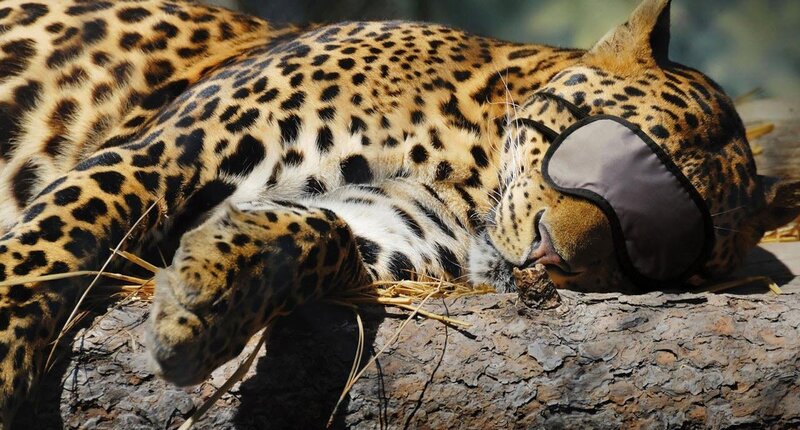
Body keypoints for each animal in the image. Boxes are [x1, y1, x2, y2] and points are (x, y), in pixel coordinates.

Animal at [0, 0, 798, 426]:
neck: (467, 163)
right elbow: (45, 253)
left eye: (652, 252)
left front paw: (204, 296)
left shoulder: (391, 229)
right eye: (600, 150)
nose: (553, 256)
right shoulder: (167, 152)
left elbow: (318, 230)